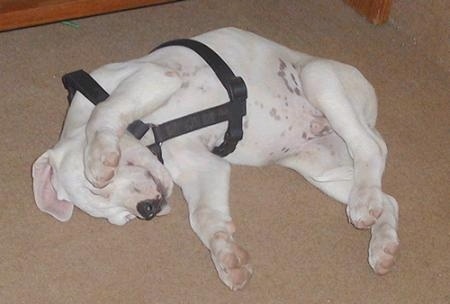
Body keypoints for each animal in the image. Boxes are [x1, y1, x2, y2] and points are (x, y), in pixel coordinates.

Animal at [31, 27, 400, 290]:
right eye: (121, 220)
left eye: (99, 189)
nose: (147, 210)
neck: (152, 132)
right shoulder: (202, 165)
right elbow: (205, 217)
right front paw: (227, 258)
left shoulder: (154, 77)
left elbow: (106, 111)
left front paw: (100, 157)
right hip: (320, 168)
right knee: (388, 197)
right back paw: (382, 244)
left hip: (319, 78)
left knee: (370, 147)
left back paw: (365, 203)